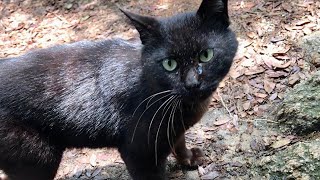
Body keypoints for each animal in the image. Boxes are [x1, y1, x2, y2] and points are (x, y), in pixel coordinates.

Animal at [0, 0, 236, 179]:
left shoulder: (173, 131)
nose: (192, 83)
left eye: (205, 55)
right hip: (38, 159)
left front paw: (188, 158)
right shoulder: (139, 153)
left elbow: (179, 141)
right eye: (170, 64)